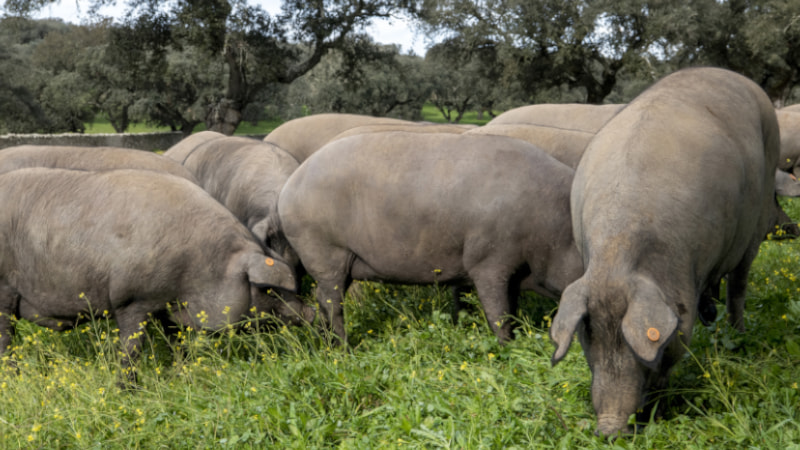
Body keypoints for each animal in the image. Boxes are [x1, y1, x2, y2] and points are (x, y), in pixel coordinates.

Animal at [0, 167, 316, 378]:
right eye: (268, 289)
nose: (311, 312)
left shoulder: (169, 306)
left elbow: (178, 342)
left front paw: (181, 374)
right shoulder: (131, 300)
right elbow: (130, 349)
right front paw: (127, 390)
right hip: (3, 289)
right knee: (5, 337)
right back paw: (13, 377)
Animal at [276, 132, 580, 342]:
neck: (546, 225)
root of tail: (289, 187)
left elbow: (505, 306)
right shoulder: (489, 259)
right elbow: (498, 310)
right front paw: (508, 346)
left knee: (323, 299)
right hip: (323, 248)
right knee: (329, 300)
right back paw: (344, 348)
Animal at [548, 67, 780, 436]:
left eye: (641, 343)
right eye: (588, 334)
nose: (609, 429)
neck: (616, 252)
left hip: (758, 217)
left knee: (739, 284)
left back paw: (738, 335)